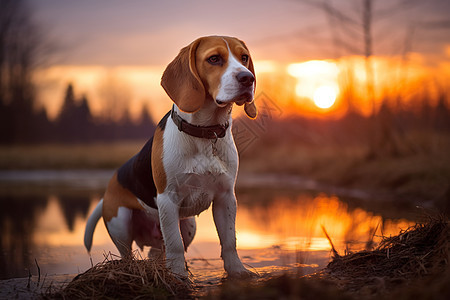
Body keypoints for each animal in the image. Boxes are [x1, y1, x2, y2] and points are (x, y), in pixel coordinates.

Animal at [84, 36, 256, 278]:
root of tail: (108, 189)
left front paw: (237, 272)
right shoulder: (168, 199)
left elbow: (229, 240)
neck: (205, 133)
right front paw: (179, 278)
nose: (248, 78)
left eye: (244, 58)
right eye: (214, 58)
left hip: (189, 224)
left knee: (157, 252)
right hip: (121, 221)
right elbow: (175, 244)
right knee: (129, 254)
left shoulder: (226, 198)